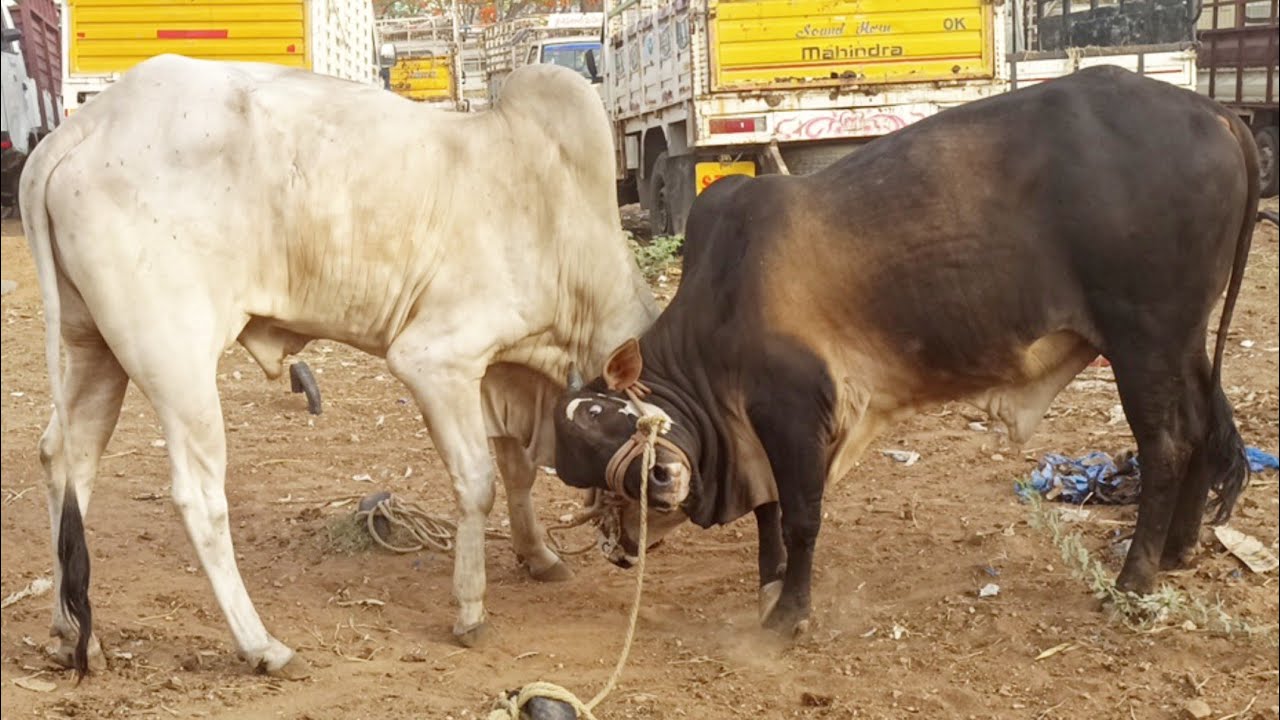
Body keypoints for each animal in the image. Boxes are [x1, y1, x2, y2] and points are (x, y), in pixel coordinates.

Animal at [19, 55, 658, 677]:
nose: (640, 542)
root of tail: (82, 127)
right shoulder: (437, 358)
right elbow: (478, 483)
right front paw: (471, 610)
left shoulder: (504, 377)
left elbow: (518, 470)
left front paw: (540, 556)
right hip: (177, 359)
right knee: (197, 496)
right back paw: (263, 646)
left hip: (94, 349)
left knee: (65, 459)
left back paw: (72, 636)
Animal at [552, 66, 1260, 636]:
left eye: (606, 413)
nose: (659, 481)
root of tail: (1214, 112)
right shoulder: (759, 426)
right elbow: (769, 515)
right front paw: (769, 588)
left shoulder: (793, 410)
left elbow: (799, 517)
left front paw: (788, 616)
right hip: (1182, 339)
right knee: (1203, 427)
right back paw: (1178, 550)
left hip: (1144, 337)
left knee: (1166, 443)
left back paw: (1135, 579)